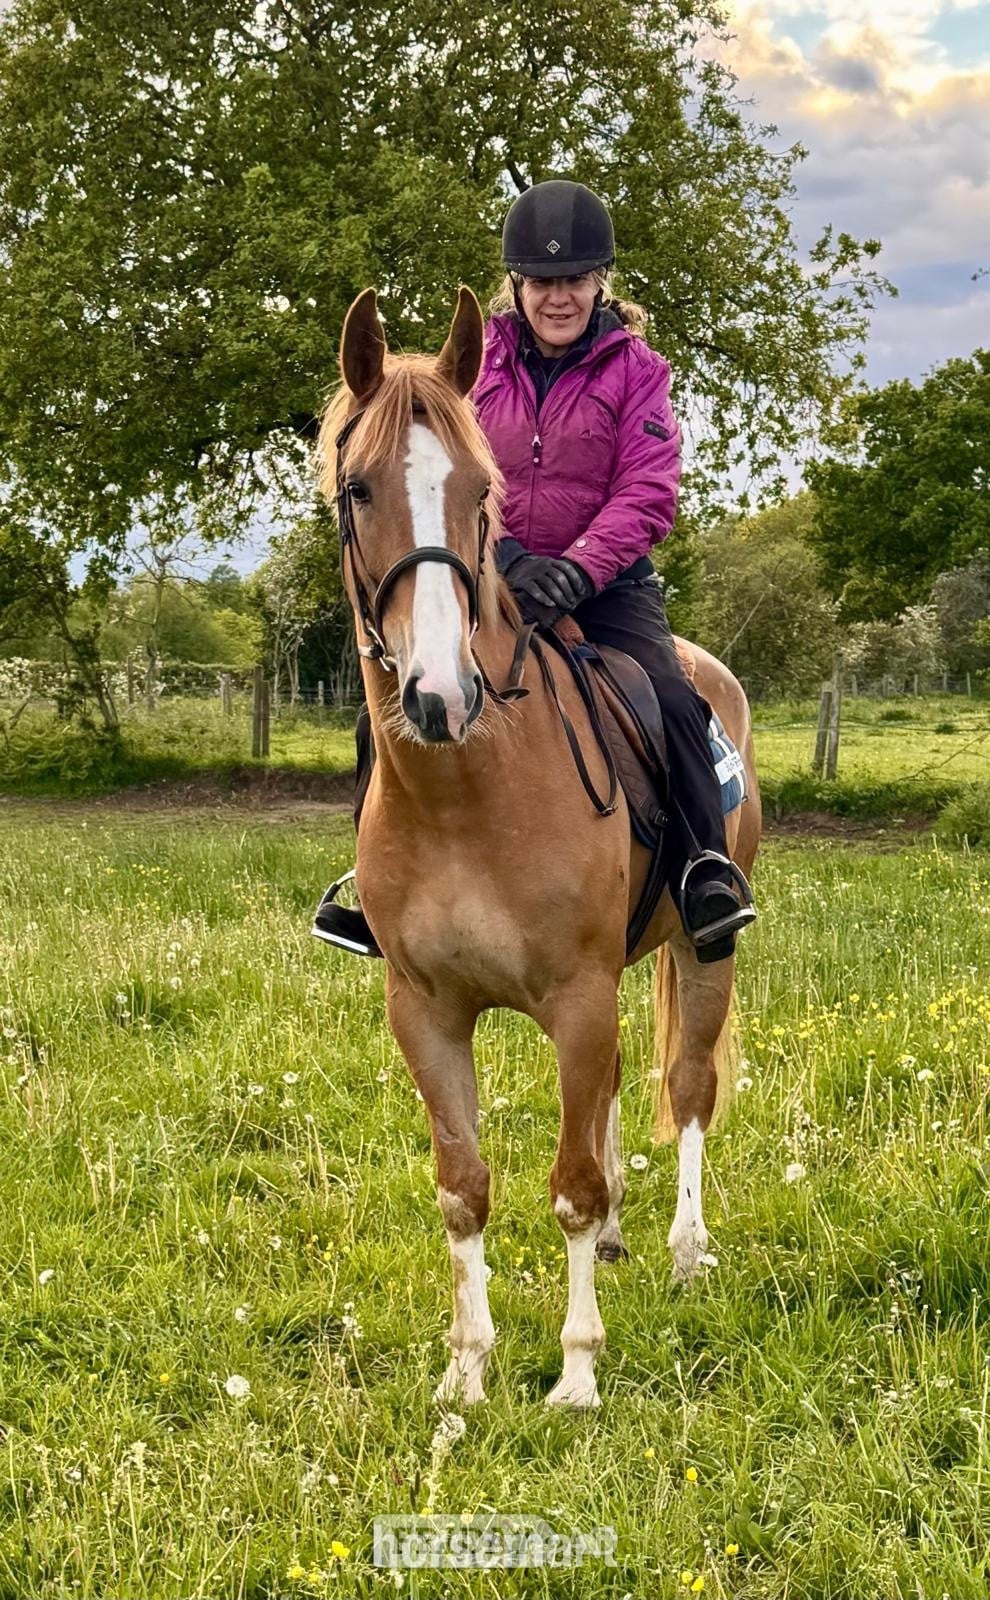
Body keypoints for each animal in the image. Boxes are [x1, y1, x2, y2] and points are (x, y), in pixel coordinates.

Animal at [317, 285, 761, 1410]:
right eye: (358, 488)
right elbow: (464, 1189)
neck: (466, 798)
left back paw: (686, 1250)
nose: (440, 694)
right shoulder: (424, 1011)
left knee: (686, 1089)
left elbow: (568, 1186)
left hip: (704, 952)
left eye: (484, 490)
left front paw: (576, 1374)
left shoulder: (577, 996)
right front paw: (466, 1370)